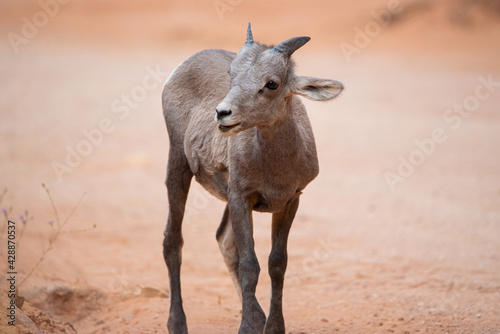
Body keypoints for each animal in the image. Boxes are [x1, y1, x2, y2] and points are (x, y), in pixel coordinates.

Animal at [163, 24, 344, 334]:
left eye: (271, 83)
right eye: (231, 75)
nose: (222, 114)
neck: (275, 166)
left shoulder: (289, 202)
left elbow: (276, 264)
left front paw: (272, 327)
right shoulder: (241, 198)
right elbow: (250, 264)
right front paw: (247, 327)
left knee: (223, 240)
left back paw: (258, 316)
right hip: (178, 166)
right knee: (173, 241)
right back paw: (178, 324)